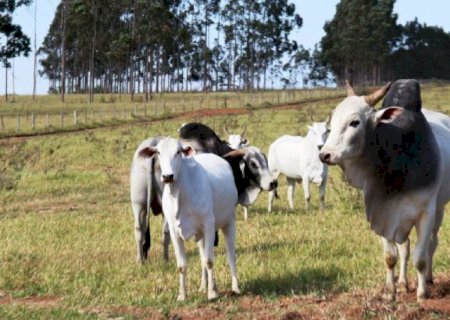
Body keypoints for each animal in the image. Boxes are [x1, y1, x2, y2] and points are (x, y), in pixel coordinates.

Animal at [139, 138, 241, 300]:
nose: (168, 176)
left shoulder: (208, 225)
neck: (180, 196)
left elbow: (209, 261)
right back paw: (203, 286)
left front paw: (212, 293)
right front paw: (182, 295)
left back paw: (235, 287)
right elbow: (183, 265)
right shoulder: (174, 232)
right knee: (202, 256)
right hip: (200, 234)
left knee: (230, 255)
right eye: (158, 152)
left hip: (229, 222)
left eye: (178, 151)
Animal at [318, 79, 450, 302]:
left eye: (355, 122)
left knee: (432, 243)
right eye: (332, 122)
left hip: (438, 209)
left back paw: (429, 279)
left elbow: (420, 258)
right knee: (405, 248)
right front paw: (390, 292)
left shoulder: (426, 213)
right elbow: (391, 256)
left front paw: (422, 294)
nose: (324, 154)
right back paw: (403, 283)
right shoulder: (383, 212)